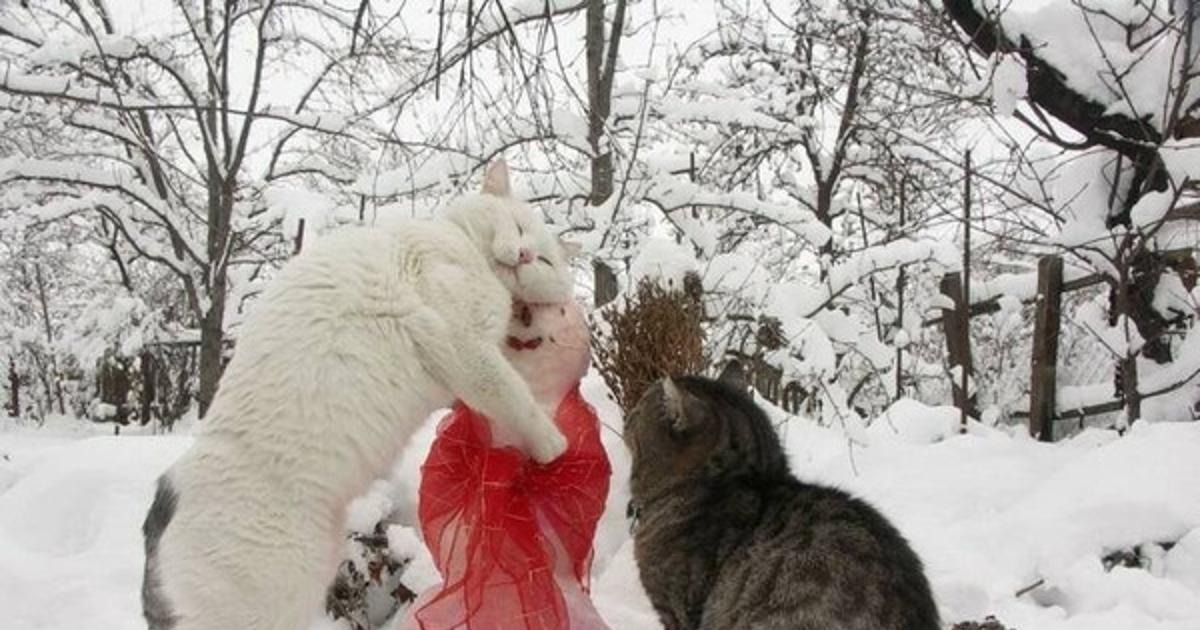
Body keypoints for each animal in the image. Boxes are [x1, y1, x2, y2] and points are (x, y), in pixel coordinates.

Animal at [142, 160, 576, 630]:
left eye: (546, 260)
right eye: (518, 226)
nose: (527, 255)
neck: (470, 254)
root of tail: (164, 497)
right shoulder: (463, 344)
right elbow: (512, 394)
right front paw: (552, 444)